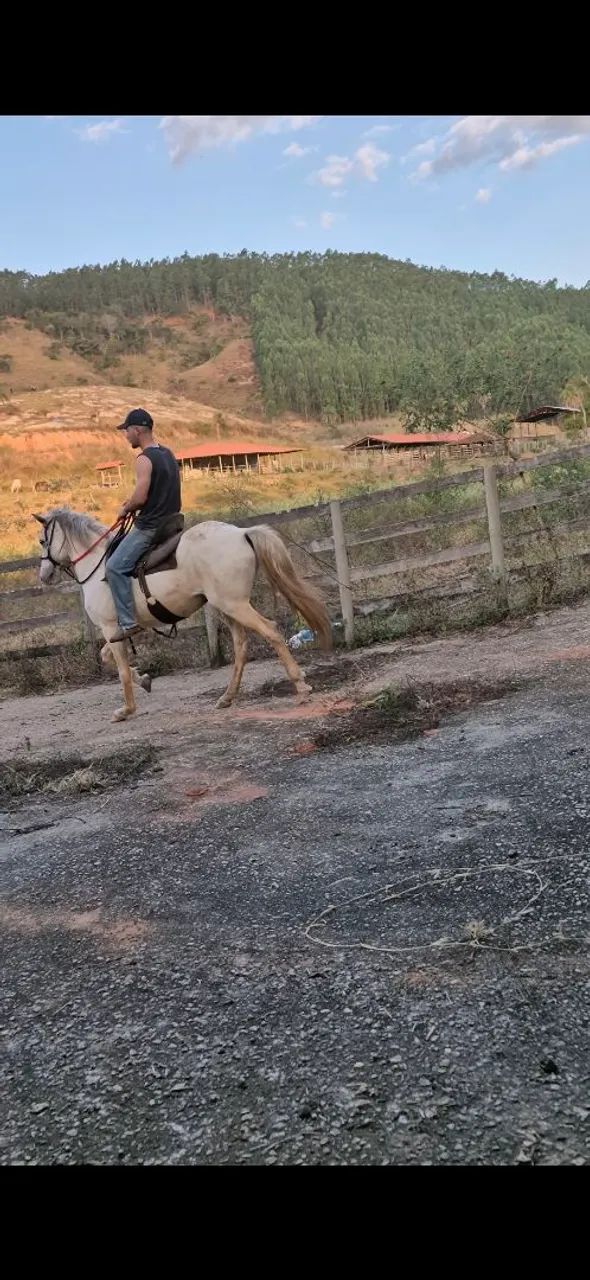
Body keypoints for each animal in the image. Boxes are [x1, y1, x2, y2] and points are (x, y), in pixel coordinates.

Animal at [33, 508, 332, 723]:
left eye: (43, 540)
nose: (44, 575)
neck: (97, 566)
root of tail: (242, 533)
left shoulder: (109, 628)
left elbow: (120, 671)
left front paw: (126, 710)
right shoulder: (121, 631)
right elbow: (106, 657)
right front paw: (144, 680)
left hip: (234, 605)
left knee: (271, 631)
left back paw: (300, 685)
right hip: (226, 608)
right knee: (241, 646)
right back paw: (227, 697)